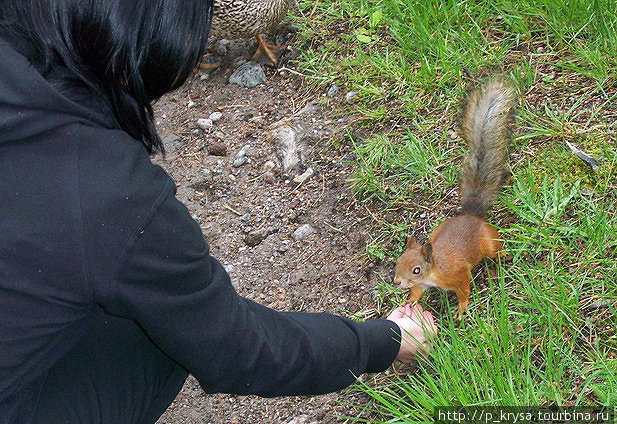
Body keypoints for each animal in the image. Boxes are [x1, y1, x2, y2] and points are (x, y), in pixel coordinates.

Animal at [394, 78, 516, 318]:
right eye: (397, 262)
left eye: (416, 269)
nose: (396, 282)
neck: (434, 270)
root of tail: (472, 215)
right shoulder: (422, 285)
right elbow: (416, 292)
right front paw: (409, 301)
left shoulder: (458, 275)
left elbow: (464, 291)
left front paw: (461, 309)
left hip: (488, 242)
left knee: (494, 251)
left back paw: (503, 254)